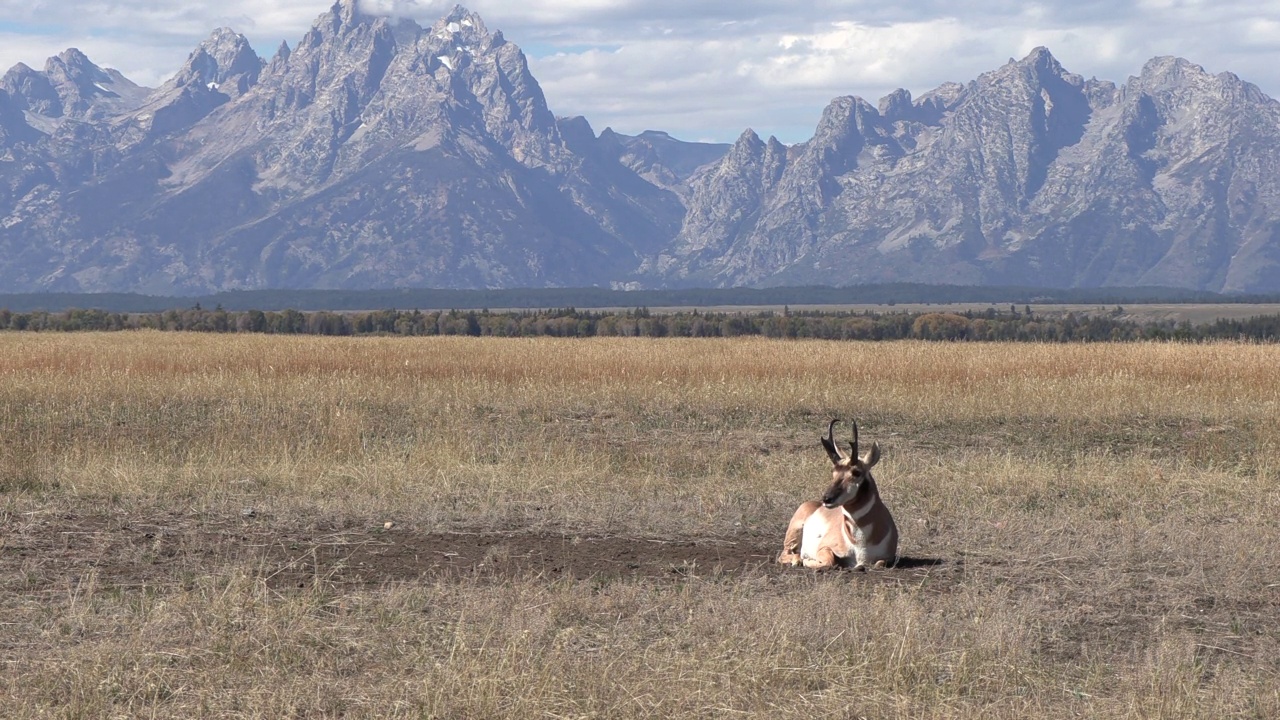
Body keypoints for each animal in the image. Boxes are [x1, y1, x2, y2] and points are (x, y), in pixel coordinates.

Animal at [773, 417, 896, 568]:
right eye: (833, 471)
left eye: (856, 472)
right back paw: (798, 560)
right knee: (785, 554)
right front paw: (807, 560)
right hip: (794, 533)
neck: (861, 544)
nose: (827, 498)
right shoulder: (824, 548)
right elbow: (830, 561)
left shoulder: (888, 558)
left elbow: (879, 563)